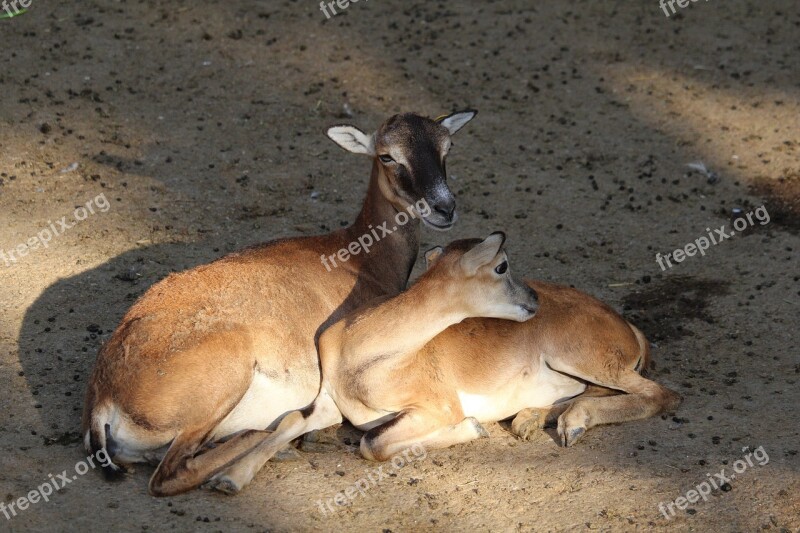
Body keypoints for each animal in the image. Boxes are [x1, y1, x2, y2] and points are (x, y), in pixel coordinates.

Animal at [81, 108, 478, 494]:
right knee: (170, 474)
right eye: (386, 155)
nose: (444, 208)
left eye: (447, 146)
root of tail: (104, 396)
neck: (359, 258)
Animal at [208, 232, 680, 490]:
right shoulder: (328, 403)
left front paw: (472, 428)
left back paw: (571, 424)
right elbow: (289, 421)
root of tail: (624, 326)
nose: (533, 299)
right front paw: (227, 479)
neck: (363, 355)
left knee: (661, 394)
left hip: (579, 356)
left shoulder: (435, 406)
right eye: (502, 266)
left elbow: (372, 444)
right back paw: (531, 420)